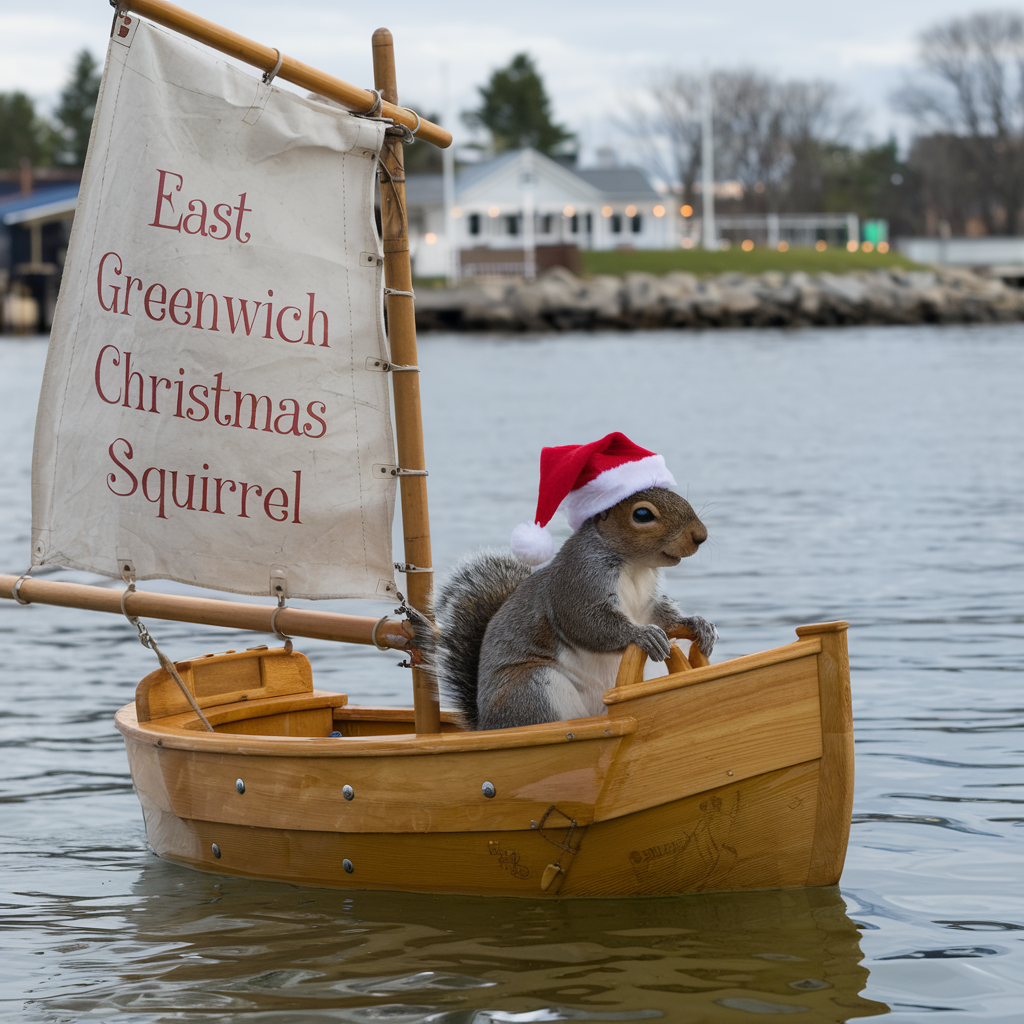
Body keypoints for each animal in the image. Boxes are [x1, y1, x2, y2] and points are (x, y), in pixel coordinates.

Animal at [432, 486, 717, 731]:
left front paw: (697, 623)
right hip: (532, 689)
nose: (700, 536)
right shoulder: (577, 583)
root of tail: (485, 725)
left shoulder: (647, 603)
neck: (634, 565)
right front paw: (642, 635)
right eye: (642, 514)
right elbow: (587, 624)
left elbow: (662, 615)